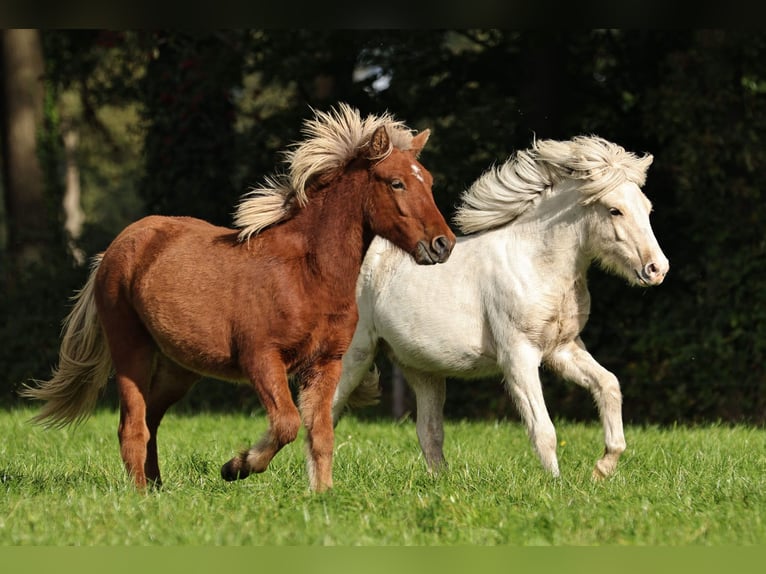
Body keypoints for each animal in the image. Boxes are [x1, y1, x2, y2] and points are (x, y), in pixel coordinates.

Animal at [22, 102, 456, 490]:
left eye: (429, 181)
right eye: (396, 182)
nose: (442, 245)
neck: (307, 274)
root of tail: (115, 248)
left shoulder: (325, 363)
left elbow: (320, 433)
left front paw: (322, 495)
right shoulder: (261, 358)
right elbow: (287, 423)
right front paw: (236, 467)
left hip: (179, 367)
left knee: (151, 419)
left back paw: (159, 487)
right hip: (131, 351)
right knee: (132, 425)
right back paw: (141, 495)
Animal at [332, 136, 668, 482]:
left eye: (647, 208)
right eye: (615, 210)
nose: (657, 269)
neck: (536, 264)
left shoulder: (562, 350)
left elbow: (609, 385)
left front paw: (602, 469)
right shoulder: (518, 356)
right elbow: (544, 430)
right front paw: (557, 485)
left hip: (422, 370)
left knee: (429, 432)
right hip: (355, 356)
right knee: (327, 411)